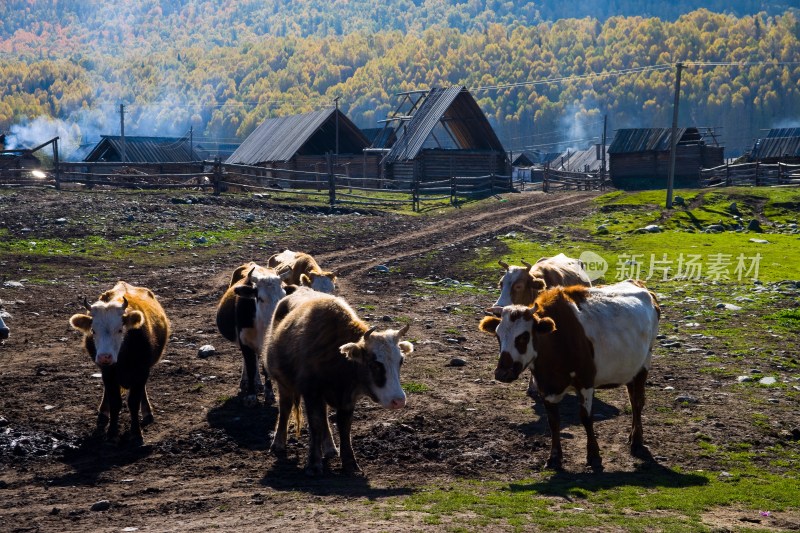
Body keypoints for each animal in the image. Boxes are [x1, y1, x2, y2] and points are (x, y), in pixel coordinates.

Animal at [69, 282, 170, 444]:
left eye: (120, 329)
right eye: (93, 330)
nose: (105, 357)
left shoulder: (142, 371)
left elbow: (133, 402)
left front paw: (136, 434)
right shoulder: (108, 373)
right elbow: (115, 401)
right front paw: (111, 433)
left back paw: (147, 412)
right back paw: (103, 413)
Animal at [214, 260, 286, 404]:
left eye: (284, 295)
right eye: (260, 298)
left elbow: (264, 367)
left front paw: (269, 394)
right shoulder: (244, 341)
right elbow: (251, 366)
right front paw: (251, 396)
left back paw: (258, 383)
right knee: (248, 361)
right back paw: (245, 382)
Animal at [268, 288, 412, 476]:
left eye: (401, 360)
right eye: (374, 363)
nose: (399, 401)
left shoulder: (347, 399)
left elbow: (344, 427)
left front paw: (350, 463)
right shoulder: (311, 392)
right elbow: (315, 423)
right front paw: (313, 464)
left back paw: (330, 448)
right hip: (284, 384)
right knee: (285, 408)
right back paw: (278, 443)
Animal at [478, 280, 660, 472]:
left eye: (523, 336)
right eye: (498, 335)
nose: (502, 373)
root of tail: (638, 284)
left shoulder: (585, 382)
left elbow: (586, 418)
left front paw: (593, 455)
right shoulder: (545, 387)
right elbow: (553, 422)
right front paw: (554, 457)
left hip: (644, 365)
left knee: (637, 402)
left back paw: (637, 442)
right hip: (631, 369)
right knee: (633, 399)